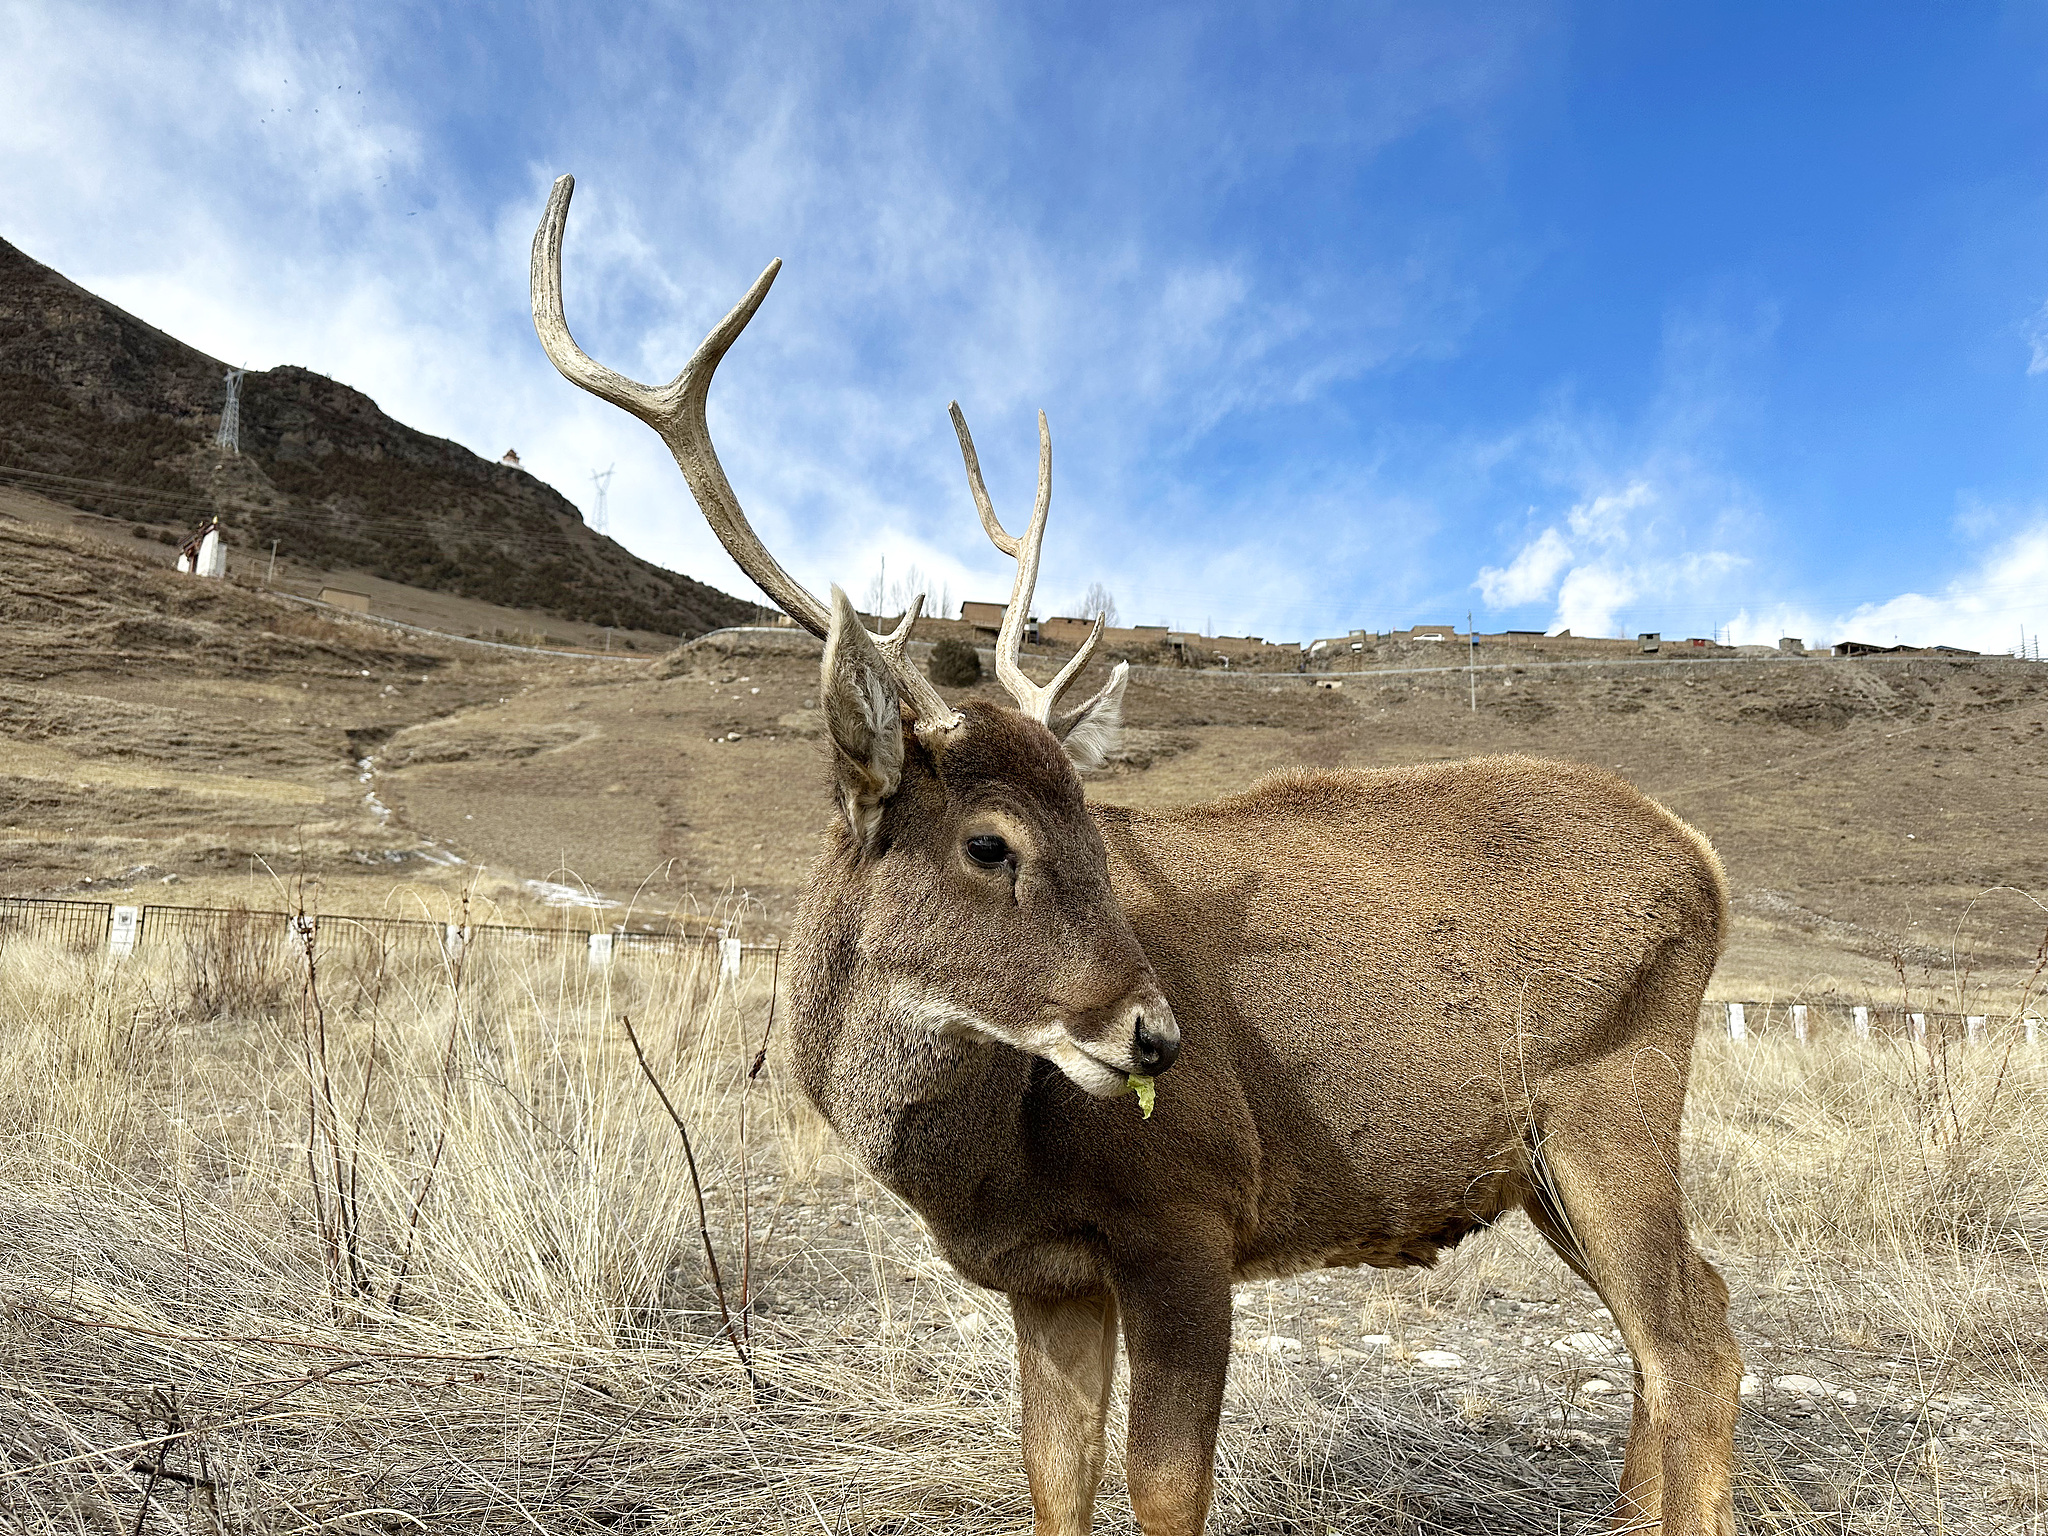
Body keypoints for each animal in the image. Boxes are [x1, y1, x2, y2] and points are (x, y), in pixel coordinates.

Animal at [531, 174, 1744, 1536]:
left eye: (1096, 843)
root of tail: (1704, 865)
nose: (1156, 1037)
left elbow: (1164, 1490)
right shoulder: (1049, 1276)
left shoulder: (1189, 1212)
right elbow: (1053, 1482)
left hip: (1610, 1094)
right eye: (989, 842)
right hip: (1538, 1159)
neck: (989, 1161)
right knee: (1686, 1319)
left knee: (1691, 1341)